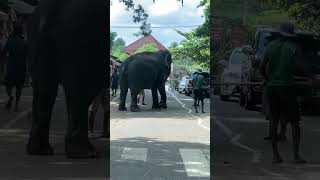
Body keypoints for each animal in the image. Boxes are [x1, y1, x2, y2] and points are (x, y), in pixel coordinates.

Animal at [25, 0, 107, 158]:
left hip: (38, 38)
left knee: (44, 89)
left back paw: (40, 151)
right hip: (80, 35)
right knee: (81, 88)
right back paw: (85, 153)